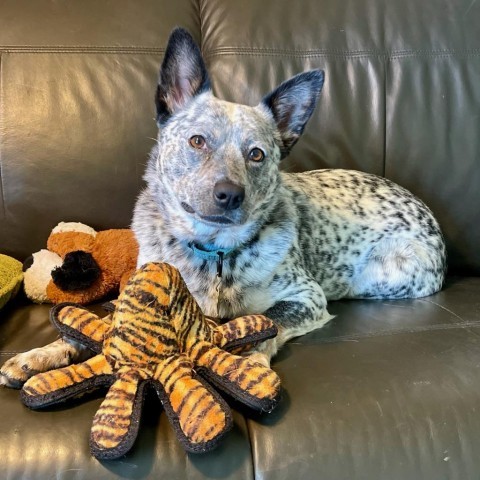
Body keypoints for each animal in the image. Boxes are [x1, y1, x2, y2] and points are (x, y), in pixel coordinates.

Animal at [0, 25, 446, 386]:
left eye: (257, 154)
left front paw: (249, 364)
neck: (213, 251)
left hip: (383, 272)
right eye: (197, 140)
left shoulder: (306, 297)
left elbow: (268, 322)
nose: (230, 194)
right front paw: (40, 355)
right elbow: (98, 323)